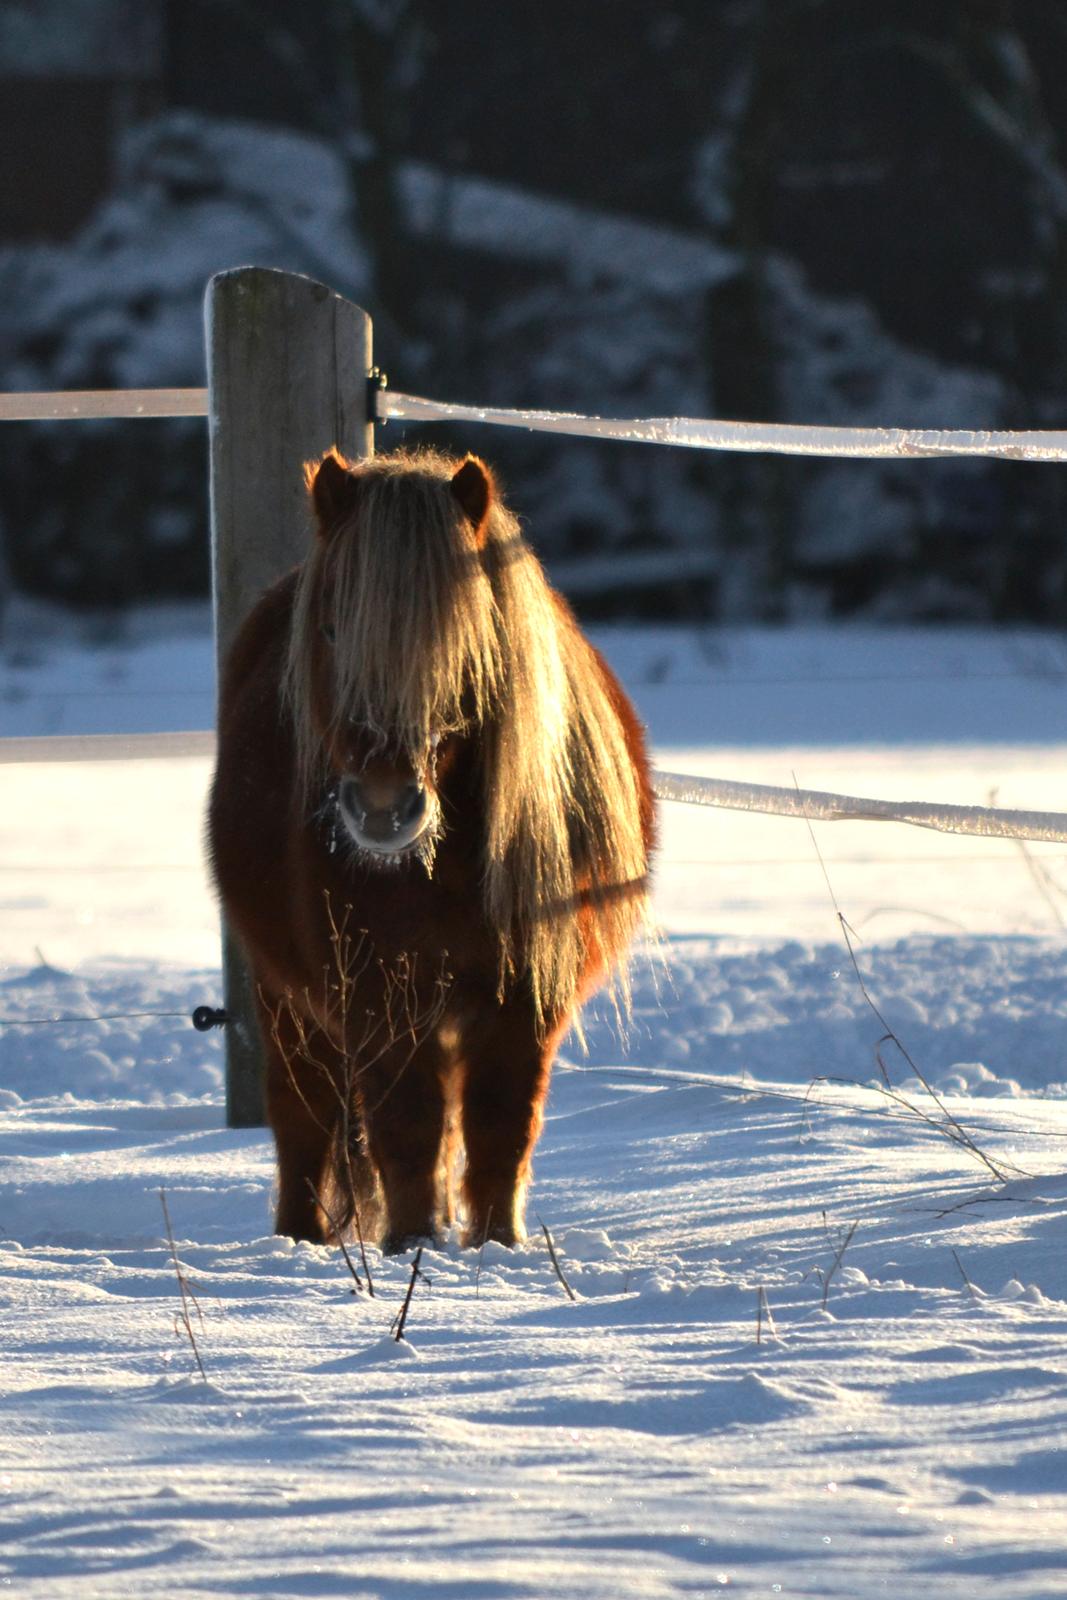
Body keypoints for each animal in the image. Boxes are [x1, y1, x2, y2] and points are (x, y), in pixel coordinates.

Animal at [209, 444, 655, 1254]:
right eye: (330, 631)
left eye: (461, 644)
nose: (383, 809)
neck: (441, 867)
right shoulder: (381, 1000)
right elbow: (406, 1132)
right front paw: (413, 1248)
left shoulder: (525, 1000)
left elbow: (500, 1131)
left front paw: (494, 1249)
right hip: (285, 1000)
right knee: (303, 1121)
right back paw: (298, 1243)